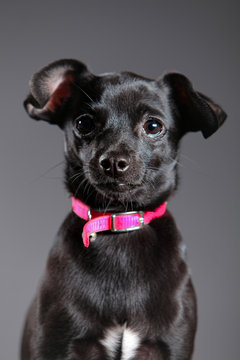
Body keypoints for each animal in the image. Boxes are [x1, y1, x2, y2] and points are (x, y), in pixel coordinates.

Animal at [21, 59, 227, 360]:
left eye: (153, 126)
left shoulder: (168, 345)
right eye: (84, 123)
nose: (114, 162)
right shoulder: (58, 344)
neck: (119, 220)